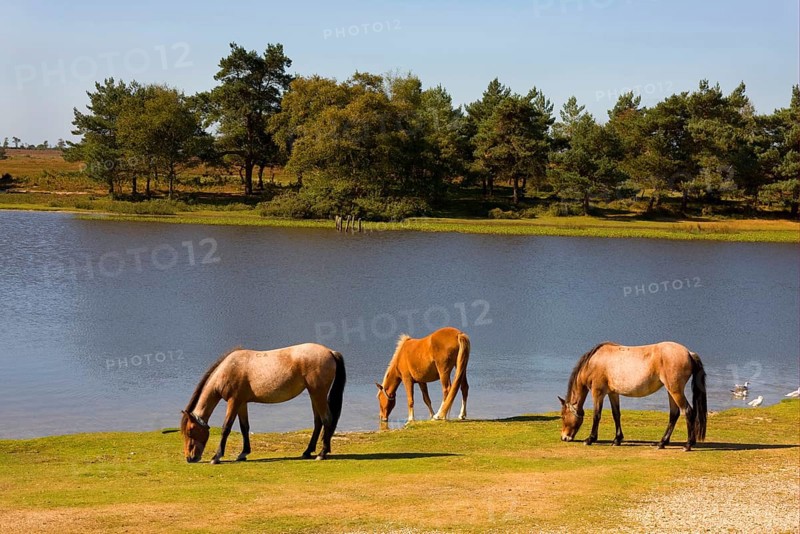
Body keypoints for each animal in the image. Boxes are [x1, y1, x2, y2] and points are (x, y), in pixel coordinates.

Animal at [181, 344, 346, 464]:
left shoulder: (234, 402)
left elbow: (226, 428)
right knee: (318, 422)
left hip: (318, 394)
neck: (229, 369)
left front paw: (216, 457)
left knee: (327, 419)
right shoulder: (241, 403)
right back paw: (307, 452)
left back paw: (322, 453)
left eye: (190, 431)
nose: (189, 458)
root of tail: (330, 352)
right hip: (314, 395)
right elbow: (244, 427)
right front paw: (243, 453)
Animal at [558, 341, 707, 451]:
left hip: (675, 390)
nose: (564, 437)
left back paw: (688, 445)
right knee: (674, 414)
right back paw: (662, 443)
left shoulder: (598, 392)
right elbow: (616, 414)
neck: (593, 362)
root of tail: (689, 353)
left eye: (563, 416)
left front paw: (590, 439)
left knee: (688, 412)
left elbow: (596, 415)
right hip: (671, 391)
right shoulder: (613, 393)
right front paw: (617, 439)